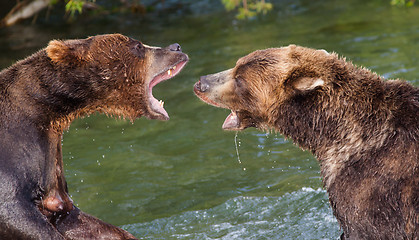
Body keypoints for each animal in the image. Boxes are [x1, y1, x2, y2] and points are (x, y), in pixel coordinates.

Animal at [0, 34, 189, 240]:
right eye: (138, 46)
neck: (44, 110)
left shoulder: (51, 165)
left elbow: (78, 219)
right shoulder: (15, 151)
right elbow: (17, 211)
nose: (176, 47)